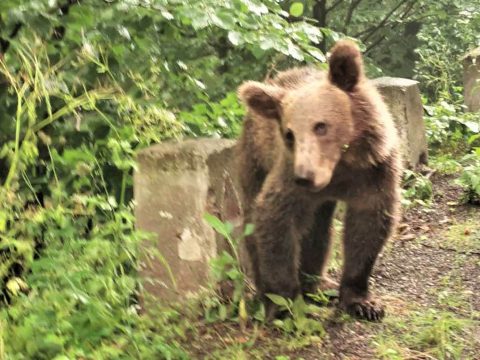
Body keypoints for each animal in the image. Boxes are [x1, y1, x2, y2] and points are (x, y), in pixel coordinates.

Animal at [236, 40, 402, 320]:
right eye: (289, 134)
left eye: (321, 126)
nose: (305, 176)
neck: (340, 168)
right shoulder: (287, 178)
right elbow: (274, 221)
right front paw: (283, 302)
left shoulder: (374, 172)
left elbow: (367, 226)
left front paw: (363, 303)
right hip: (255, 159)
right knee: (253, 223)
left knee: (318, 230)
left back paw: (319, 285)